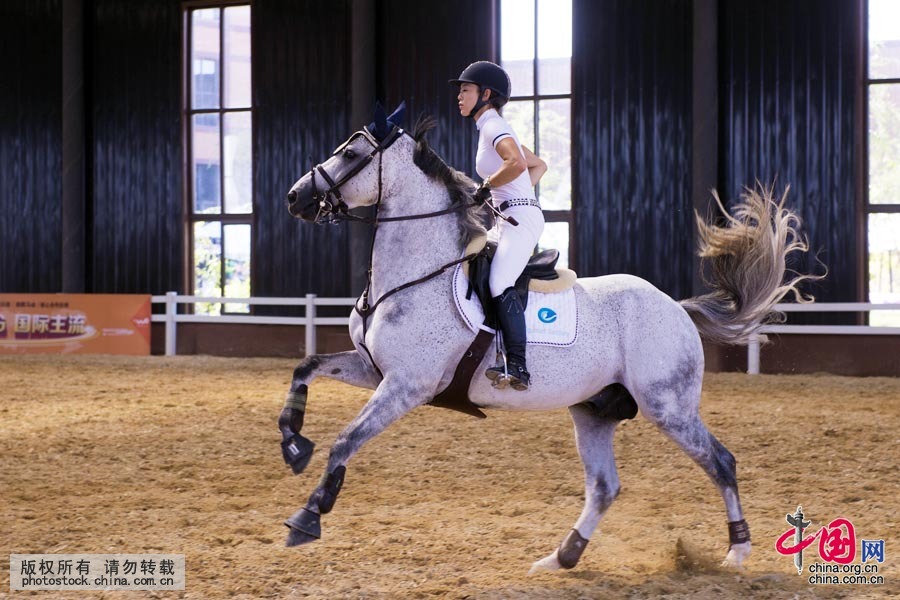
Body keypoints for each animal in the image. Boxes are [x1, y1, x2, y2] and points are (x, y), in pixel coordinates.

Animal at [280, 105, 816, 576]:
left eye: (351, 153)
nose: (294, 197)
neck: (416, 271)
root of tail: (677, 308)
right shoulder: (374, 370)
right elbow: (306, 366)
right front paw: (293, 444)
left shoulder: (406, 385)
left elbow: (347, 439)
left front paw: (308, 517)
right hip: (594, 410)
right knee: (604, 487)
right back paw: (561, 558)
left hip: (669, 407)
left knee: (720, 462)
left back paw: (736, 552)